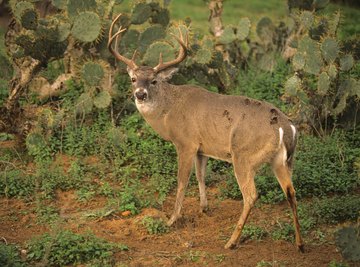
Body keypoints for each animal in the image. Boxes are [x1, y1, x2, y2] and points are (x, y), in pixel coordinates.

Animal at [107, 13, 304, 252]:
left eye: (154, 81)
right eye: (133, 79)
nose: (140, 94)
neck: (168, 112)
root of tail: (286, 126)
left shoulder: (186, 142)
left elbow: (182, 181)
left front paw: (172, 219)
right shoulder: (202, 148)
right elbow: (201, 176)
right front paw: (204, 207)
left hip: (243, 155)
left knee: (251, 195)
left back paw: (231, 241)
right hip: (283, 161)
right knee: (291, 192)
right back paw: (300, 244)